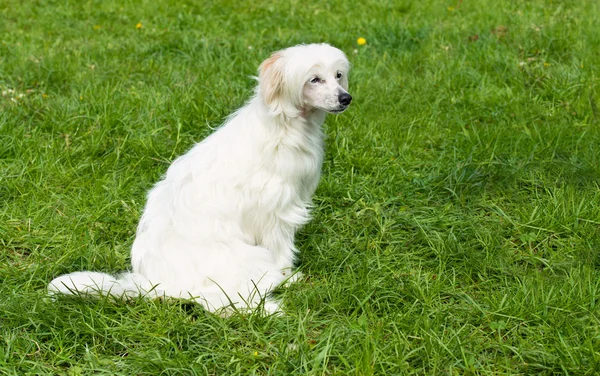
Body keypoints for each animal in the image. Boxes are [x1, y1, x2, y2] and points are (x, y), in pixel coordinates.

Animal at [50, 42, 352, 314]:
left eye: (338, 75)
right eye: (314, 79)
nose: (346, 98)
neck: (285, 126)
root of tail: (156, 286)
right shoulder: (276, 213)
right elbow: (281, 250)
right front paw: (289, 275)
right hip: (248, 259)